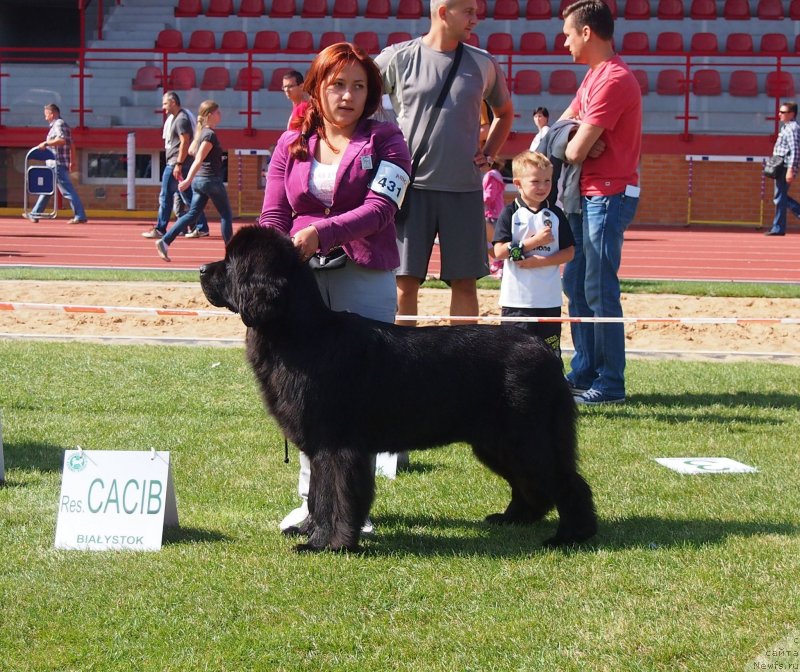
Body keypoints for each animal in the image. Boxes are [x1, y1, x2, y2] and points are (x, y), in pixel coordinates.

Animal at [203, 226, 596, 552]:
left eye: (231, 262)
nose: (203, 270)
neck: (299, 334)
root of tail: (541, 348)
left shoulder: (336, 444)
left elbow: (335, 495)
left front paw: (328, 544)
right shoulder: (319, 445)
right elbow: (318, 495)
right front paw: (313, 533)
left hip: (526, 436)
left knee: (566, 480)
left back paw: (571, 536)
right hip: (497, 442)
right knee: (531, 483)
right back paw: (513, 518)